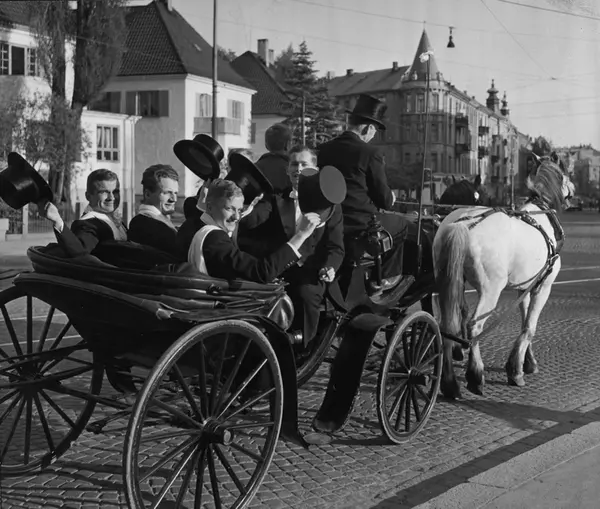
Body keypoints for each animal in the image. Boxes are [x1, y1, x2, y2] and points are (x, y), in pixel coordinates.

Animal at [433, 158, 575, 399]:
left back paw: (450, 383)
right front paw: (516, 370)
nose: (573, 190)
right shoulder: (543, 286)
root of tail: (461, 223)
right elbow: (530, 326)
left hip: (448, 282)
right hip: (491, 290)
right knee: (474, 326)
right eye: (566, 175)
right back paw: (475, 375)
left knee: (448, 326)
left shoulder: (524, 287)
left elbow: (524, 320)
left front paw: (527, 361)